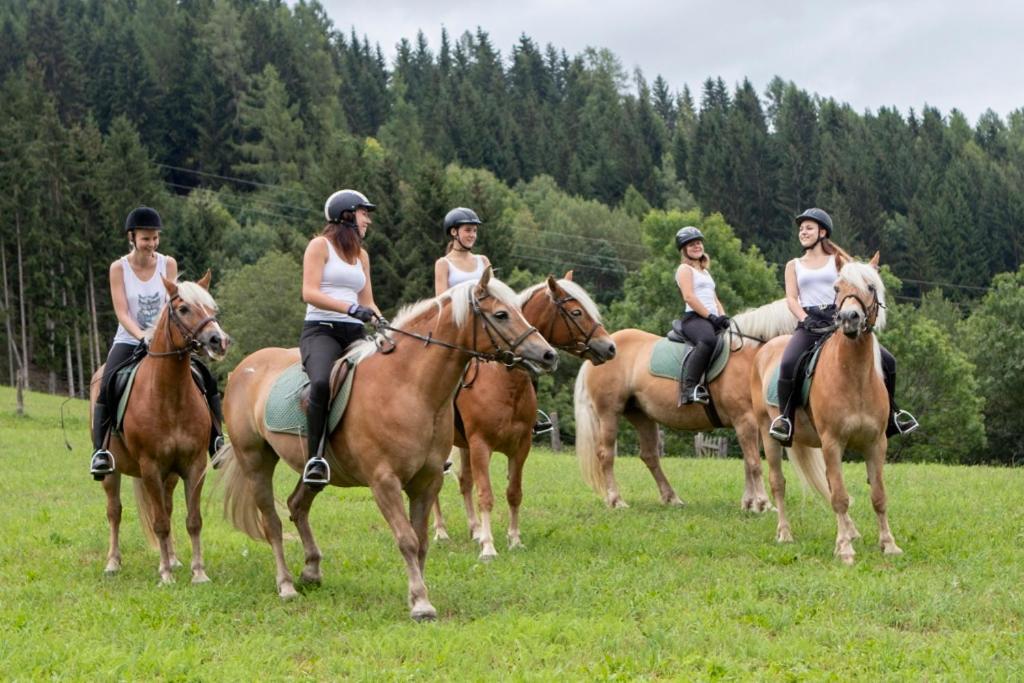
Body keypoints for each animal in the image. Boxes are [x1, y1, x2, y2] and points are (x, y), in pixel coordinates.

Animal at [88, 272, 230, 581]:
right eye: (183, 309)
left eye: (212, 308)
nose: (219, 340)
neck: (170, 396)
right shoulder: (150, 467)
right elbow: (160, 523)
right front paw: (165, 575)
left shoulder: (193, 465)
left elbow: (192, 520)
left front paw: (198, 572)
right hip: (113, 473)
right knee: (115, 511)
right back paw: (113, 563)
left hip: (170, 476)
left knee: (167, 506)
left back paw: (174, 559)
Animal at [211, 270, 557, 622]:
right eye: (501, 314)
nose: (548, 355)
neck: (409, 387)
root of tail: (245, 367)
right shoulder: (384, 482)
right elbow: (406, 539)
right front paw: (421, 603)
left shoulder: (427, 482)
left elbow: (421, 541)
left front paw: (418, 595)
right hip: (256, 461)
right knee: (272, 522)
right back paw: (286, 585)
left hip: (313, 472)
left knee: (297, 506)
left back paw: (311, 571)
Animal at [432, 272, 614, 561]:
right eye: (576, 312)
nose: (609, 347)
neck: (504, 380)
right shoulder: (481, 445)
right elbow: (486, 494)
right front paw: (488, 547)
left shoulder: (520, 446)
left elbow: (514, 492)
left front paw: (514, 540)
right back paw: (441, 532)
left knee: (464, 481)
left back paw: (475, 530)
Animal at [573, 301, 794, 509]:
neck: (751, 355)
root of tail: (605, 348)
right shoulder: (744, 420)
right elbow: (755, 463)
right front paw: (763, 503)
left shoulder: (751, 423)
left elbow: (748, 462)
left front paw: (750, 503)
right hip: (609, 413)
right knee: (606, 454)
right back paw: (616, 500)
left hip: (640, 415)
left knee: (649, 455)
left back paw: (671, 498)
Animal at [749, 253, 901, 565]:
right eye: (837, 288)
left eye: (870, 287)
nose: (848, 319)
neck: (854, 376)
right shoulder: (833, 442)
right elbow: (839, 497)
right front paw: (844, 548)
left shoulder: (875, 443)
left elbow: (878, 495)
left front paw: (888, 544)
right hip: (769, 435)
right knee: (778, 483)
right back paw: (785, 533)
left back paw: (851, 531)